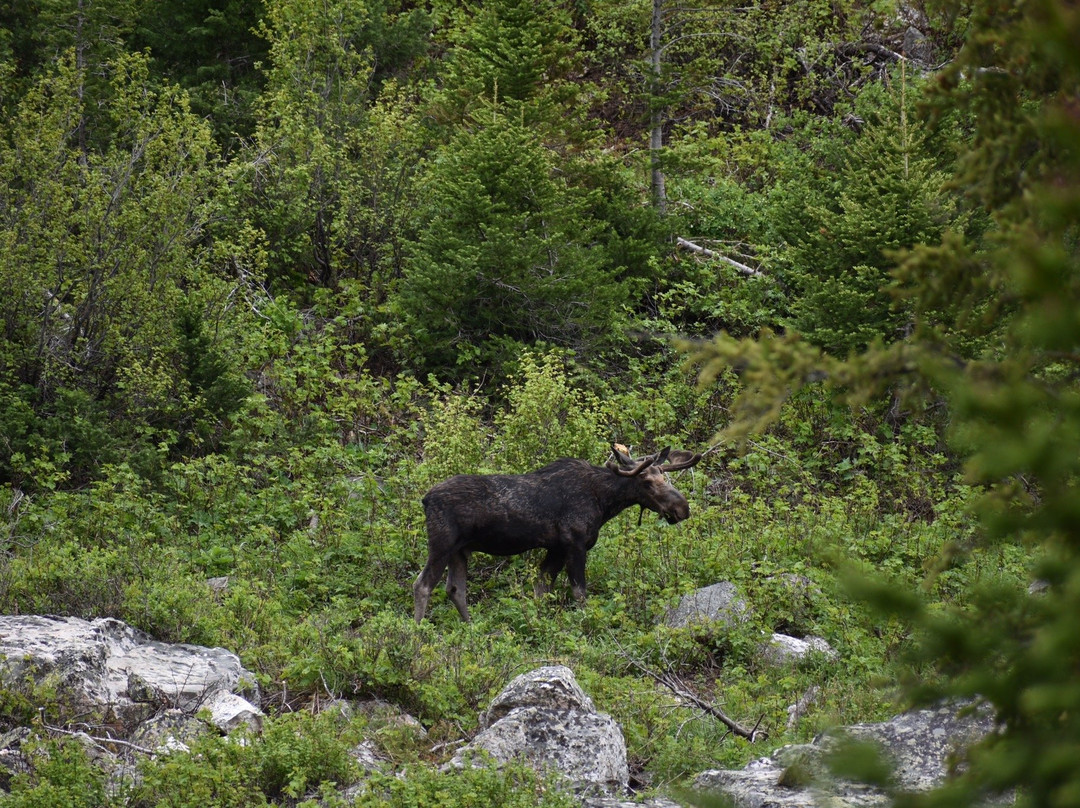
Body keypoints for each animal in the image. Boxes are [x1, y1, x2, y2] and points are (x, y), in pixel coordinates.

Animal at [410, 445, 699, 622]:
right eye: (647, 482)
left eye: (664, 477)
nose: (682, 508)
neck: (604, 502)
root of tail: (425, 499)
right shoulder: (574, 544)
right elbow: (579, 593)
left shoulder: (556, 548)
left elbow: (541, 590)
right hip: (442, 543)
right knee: (422, 584)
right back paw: (417, 634)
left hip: (460, 550)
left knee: (455, 589)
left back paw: (470, 627)